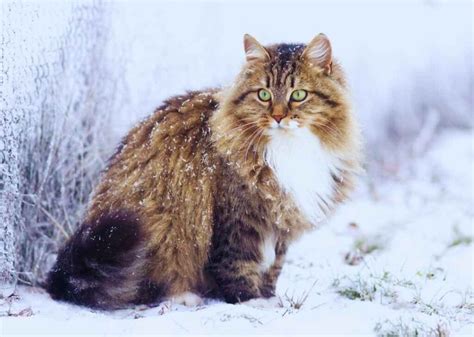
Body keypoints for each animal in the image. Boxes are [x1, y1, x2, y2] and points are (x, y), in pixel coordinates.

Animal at [46, 32, 362, 308]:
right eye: (263, 94)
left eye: (298, 95)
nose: (278, 116)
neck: (289, 149)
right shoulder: (237, 218)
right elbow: (237, 265)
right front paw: (251, 301)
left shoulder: (280, 220)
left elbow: (273, 266)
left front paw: (269, 297)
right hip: (155, 226)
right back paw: (184, 297)